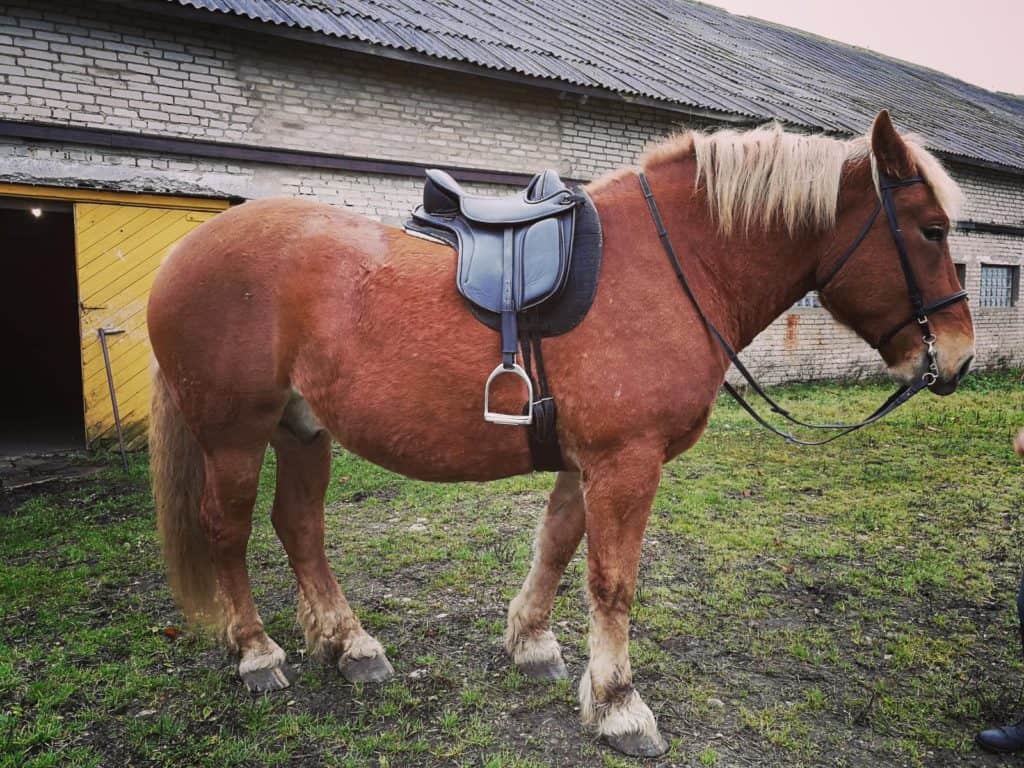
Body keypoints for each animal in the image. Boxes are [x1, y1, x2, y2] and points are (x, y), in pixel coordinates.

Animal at [148, 111, 970, 761]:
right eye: (931, 230)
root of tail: (184, 252)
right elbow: (612, 580)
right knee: (227, 530)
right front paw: (618, 705)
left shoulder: (587, 463)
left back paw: (350, 645)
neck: (673, 265)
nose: (956, 358)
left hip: (303, 430)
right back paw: (257, 653)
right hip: (234, 435)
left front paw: (533, 644)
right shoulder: (626, 463)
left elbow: (557, 544)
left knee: (300, 527)